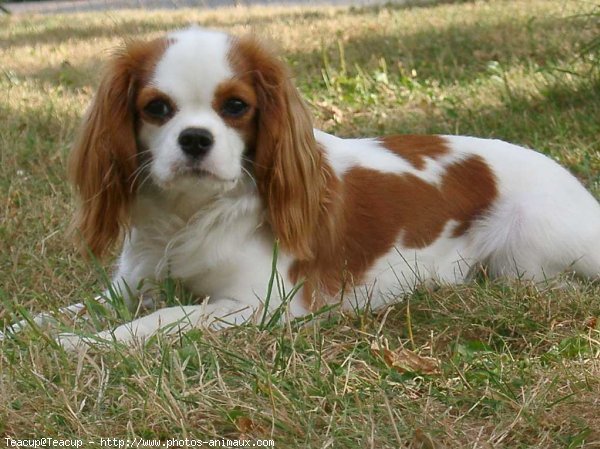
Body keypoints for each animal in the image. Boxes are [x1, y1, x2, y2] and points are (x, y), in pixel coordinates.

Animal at [1, 28, 600, 348]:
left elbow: (163, 319)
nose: (195, 139)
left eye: (236, 106)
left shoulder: (257, 304)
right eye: (157, 108)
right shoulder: (126, 290)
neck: (190, 214)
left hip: (529, 248)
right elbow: (54, 314)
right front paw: (27, 336)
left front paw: (86, 346)